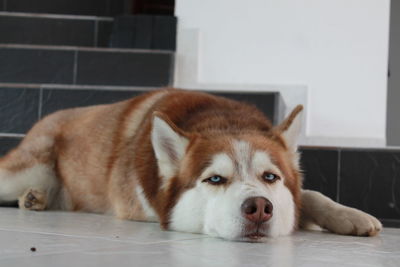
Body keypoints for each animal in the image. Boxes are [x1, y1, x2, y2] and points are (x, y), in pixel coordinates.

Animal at [0, 89, 382, 242]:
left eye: (270, 177)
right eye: (214, 179)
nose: (260, 207)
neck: (223, 121)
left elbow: (311, 194)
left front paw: (350, 216)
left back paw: (35, 198)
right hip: (25, 167)